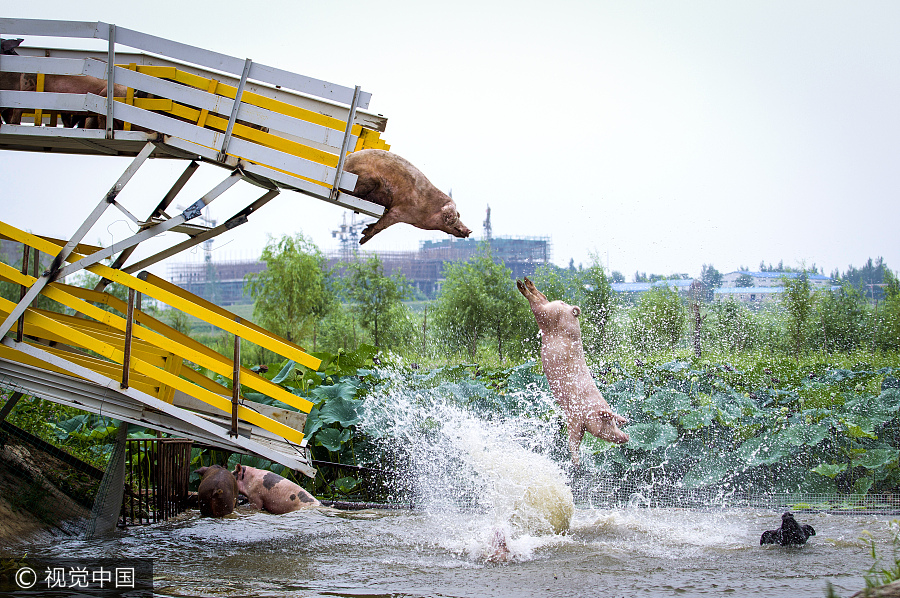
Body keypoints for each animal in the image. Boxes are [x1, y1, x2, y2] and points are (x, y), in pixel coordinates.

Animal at [342, 150, 474, 246]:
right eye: (456, 216)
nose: (469, 231)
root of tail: (345, 164)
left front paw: (365, 230)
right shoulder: (399, 212)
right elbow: (382, 224)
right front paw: (362, 240)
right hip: (366, 179)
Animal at [516, 278, 628, 466]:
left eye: (616, 422)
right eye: (609, 423)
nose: (626, 437)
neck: (590, 409)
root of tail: (570, 309)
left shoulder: (579, 423)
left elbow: (575, 441)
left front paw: (576, 462)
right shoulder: (575, 417)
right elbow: (572, 441)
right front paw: (576, 462)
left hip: (549, 310)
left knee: (541, 297)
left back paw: (525, 282)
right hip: (547, 314)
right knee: (536, 302)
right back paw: (521, 284)